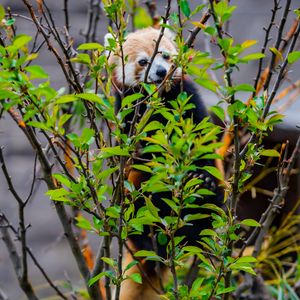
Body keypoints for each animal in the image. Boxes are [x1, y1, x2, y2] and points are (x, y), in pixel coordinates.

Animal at [105, 27, 223, 298]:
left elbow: (199, 137)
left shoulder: (187, 97)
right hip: (134, 207)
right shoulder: (127, 110)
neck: (157, 100)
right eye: (143, 61)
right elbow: (137, 151)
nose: (160, 72)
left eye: (165, 55)